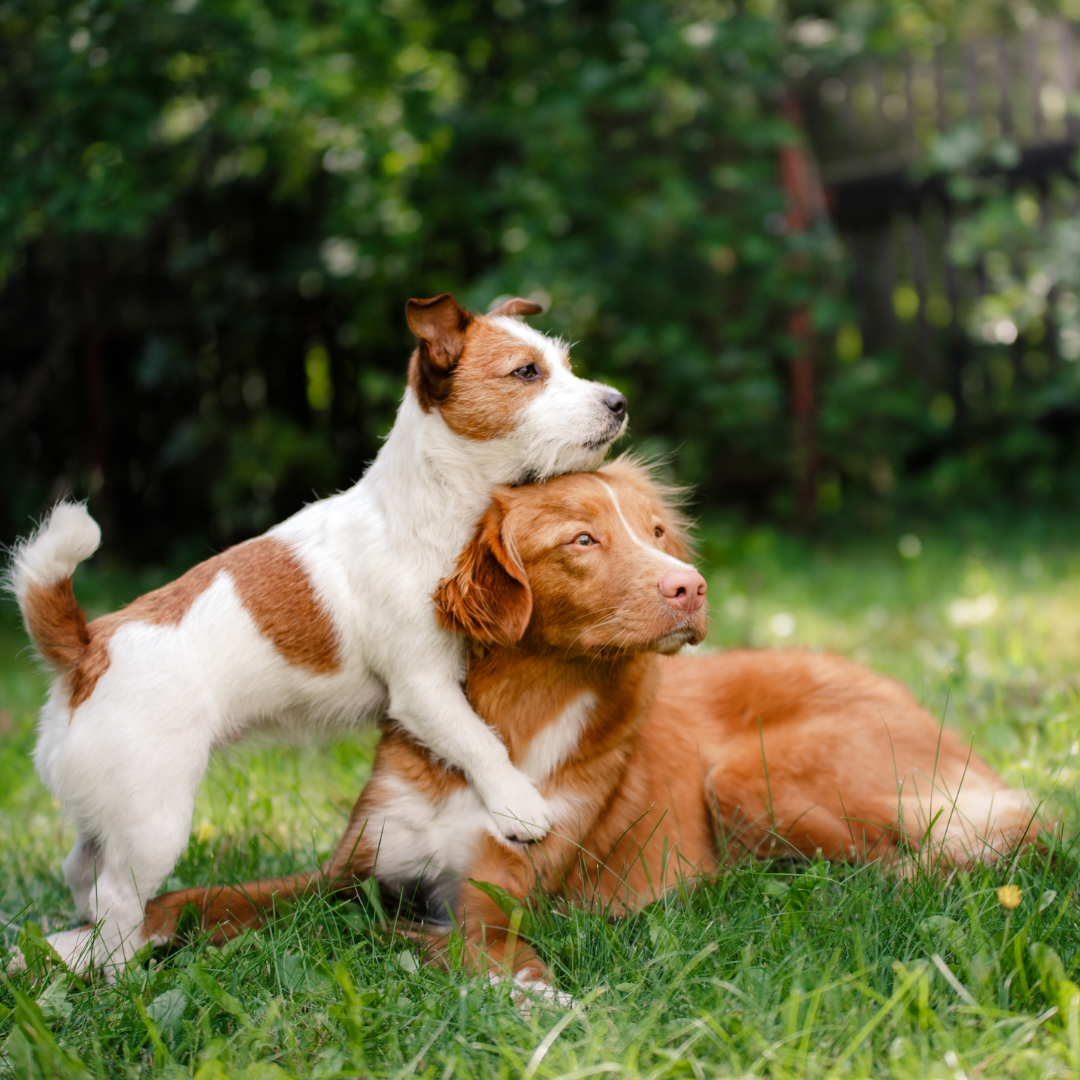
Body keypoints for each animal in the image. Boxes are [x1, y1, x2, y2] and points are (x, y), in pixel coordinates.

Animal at [6, 291, 630, 976]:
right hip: (154, 821)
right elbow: (478, 742)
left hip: (109, 811)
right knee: (116, 899)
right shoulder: (423, 688)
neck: (428, 509)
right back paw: (120, 973)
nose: (618, 401)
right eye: (525, 373)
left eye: (567, 365)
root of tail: (86, 649)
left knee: (82, 870)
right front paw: (519, 805)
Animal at [141, 460, 1036, 997]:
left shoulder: (491, 905)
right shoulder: (352, 869)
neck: (511, 720)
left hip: (749, 778)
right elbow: (201, 896)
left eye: (658, 531)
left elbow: (449, 942)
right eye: (582, 539)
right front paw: (116, 940)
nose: (692, 587)